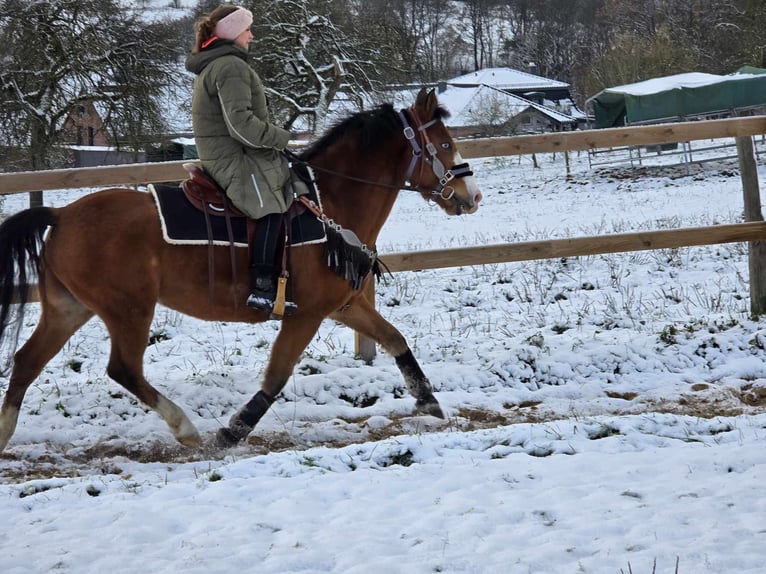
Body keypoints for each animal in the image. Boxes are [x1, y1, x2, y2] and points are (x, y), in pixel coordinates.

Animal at [0, 90, 480, 452]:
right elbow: (277, 374)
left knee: (26, 362)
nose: (471, 195)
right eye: (443, 145)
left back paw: (4, 435)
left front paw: (428, 401)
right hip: (129, 311)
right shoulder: (305, 315)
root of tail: (61, 214)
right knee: (123, 369)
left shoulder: (344, 306)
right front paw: (233, 430)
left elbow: (396, 339)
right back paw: (184, 427)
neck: (329, 204)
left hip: (69, 308)